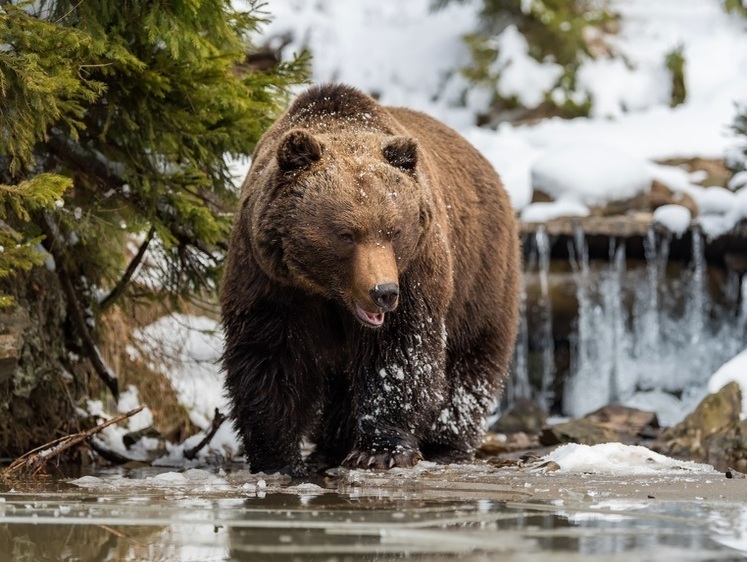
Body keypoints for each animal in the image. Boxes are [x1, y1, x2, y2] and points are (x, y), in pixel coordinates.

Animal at [222, 83, 520, 472]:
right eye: (346, 234)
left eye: (394, 231)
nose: (383, 292)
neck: (328, 292)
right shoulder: (270, 278)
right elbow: (270, 354)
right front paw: (276, 456)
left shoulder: (416, 271)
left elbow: (398, 354)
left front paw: (380, 450)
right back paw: (331, 446)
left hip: (481, 274)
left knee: (471, 358)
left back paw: (446, 444)